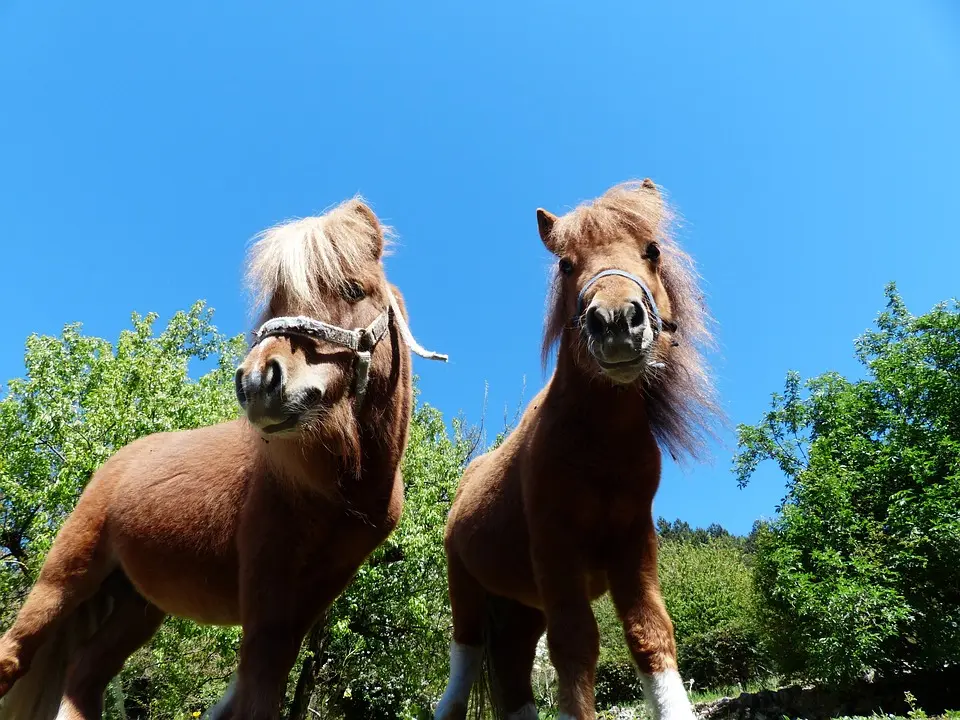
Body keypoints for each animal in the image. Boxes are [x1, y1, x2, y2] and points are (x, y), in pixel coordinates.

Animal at [436, 180, 720, 720]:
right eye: (566, 265)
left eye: (653, 250)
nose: (616, 320)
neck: (598, 446)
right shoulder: (555, 548)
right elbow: (575, 645)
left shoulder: (634, 545)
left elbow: (650, 634)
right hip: (467, 590)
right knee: (463, 668)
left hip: (522, 606)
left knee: (513, 671)